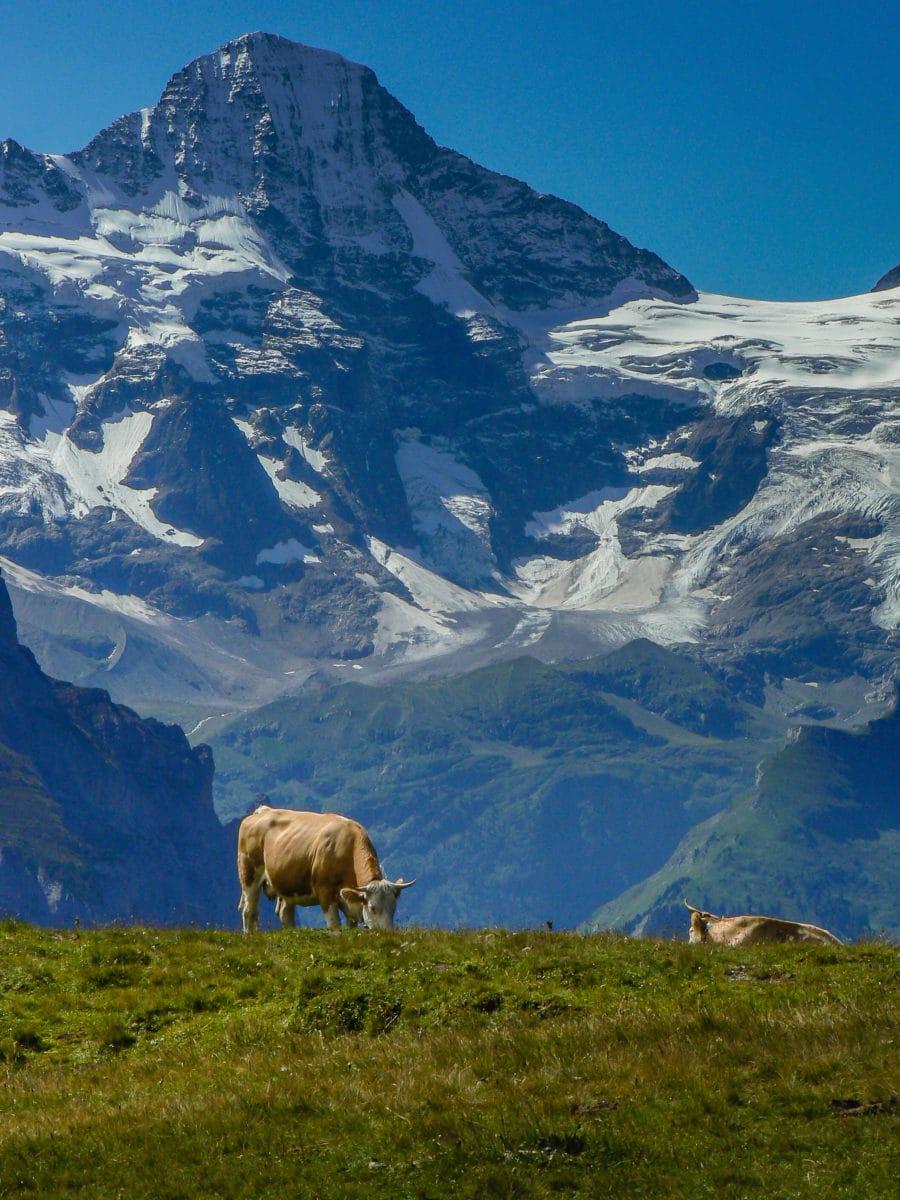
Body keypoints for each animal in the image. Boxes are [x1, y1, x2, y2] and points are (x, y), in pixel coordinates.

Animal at [237, 805, 415, 933]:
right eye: (373, 908)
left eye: (393, 907)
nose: (387, 933)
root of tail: (263, 811)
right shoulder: (324, 890)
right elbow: (334, 926)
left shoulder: (347, 901)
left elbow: (351, 927)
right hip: (249, 874)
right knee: (249, 911)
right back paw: (250, 936)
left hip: (287, 883)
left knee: (284, 913)